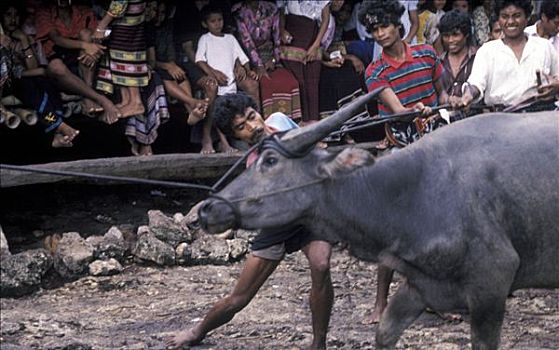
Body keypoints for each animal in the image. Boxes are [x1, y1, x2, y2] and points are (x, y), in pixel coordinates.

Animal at [198, 91, 559, 348]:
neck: (411, 192)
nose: (206, 208)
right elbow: (384, 333)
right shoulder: (420, 285)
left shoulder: (491, 285)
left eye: (271, 160)